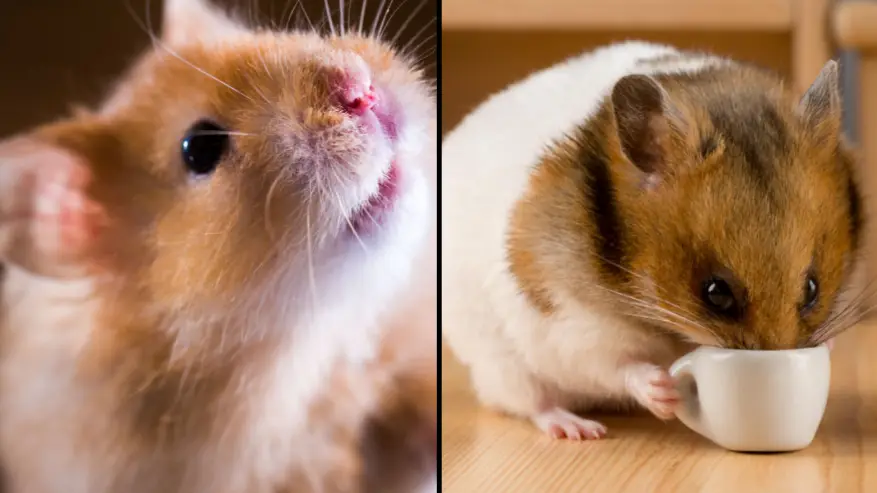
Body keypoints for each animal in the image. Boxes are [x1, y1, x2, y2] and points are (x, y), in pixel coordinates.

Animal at [441, 42, 863, 440]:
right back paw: (579, 429)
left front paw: (827, 345)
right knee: (531, 404)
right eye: (716, 294)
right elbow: (615, 365)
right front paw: (664, 390)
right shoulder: (570, 321)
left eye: (812, 289)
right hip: (503, 367)